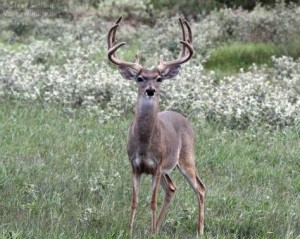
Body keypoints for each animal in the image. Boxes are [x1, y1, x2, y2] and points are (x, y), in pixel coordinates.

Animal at [106, 16, 205, 237]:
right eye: (140, 78)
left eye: (159, 78)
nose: (150, 90)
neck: (144, 143)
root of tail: (184, 118)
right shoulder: (135, 165)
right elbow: (134, 201)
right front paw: (129, 231)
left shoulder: (157, 165)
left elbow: (152, 201)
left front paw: (148, 231)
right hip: (168, 170)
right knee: (172, 188)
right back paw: (157, 227)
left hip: (186, 157)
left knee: (200, 188)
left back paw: (199, 231)